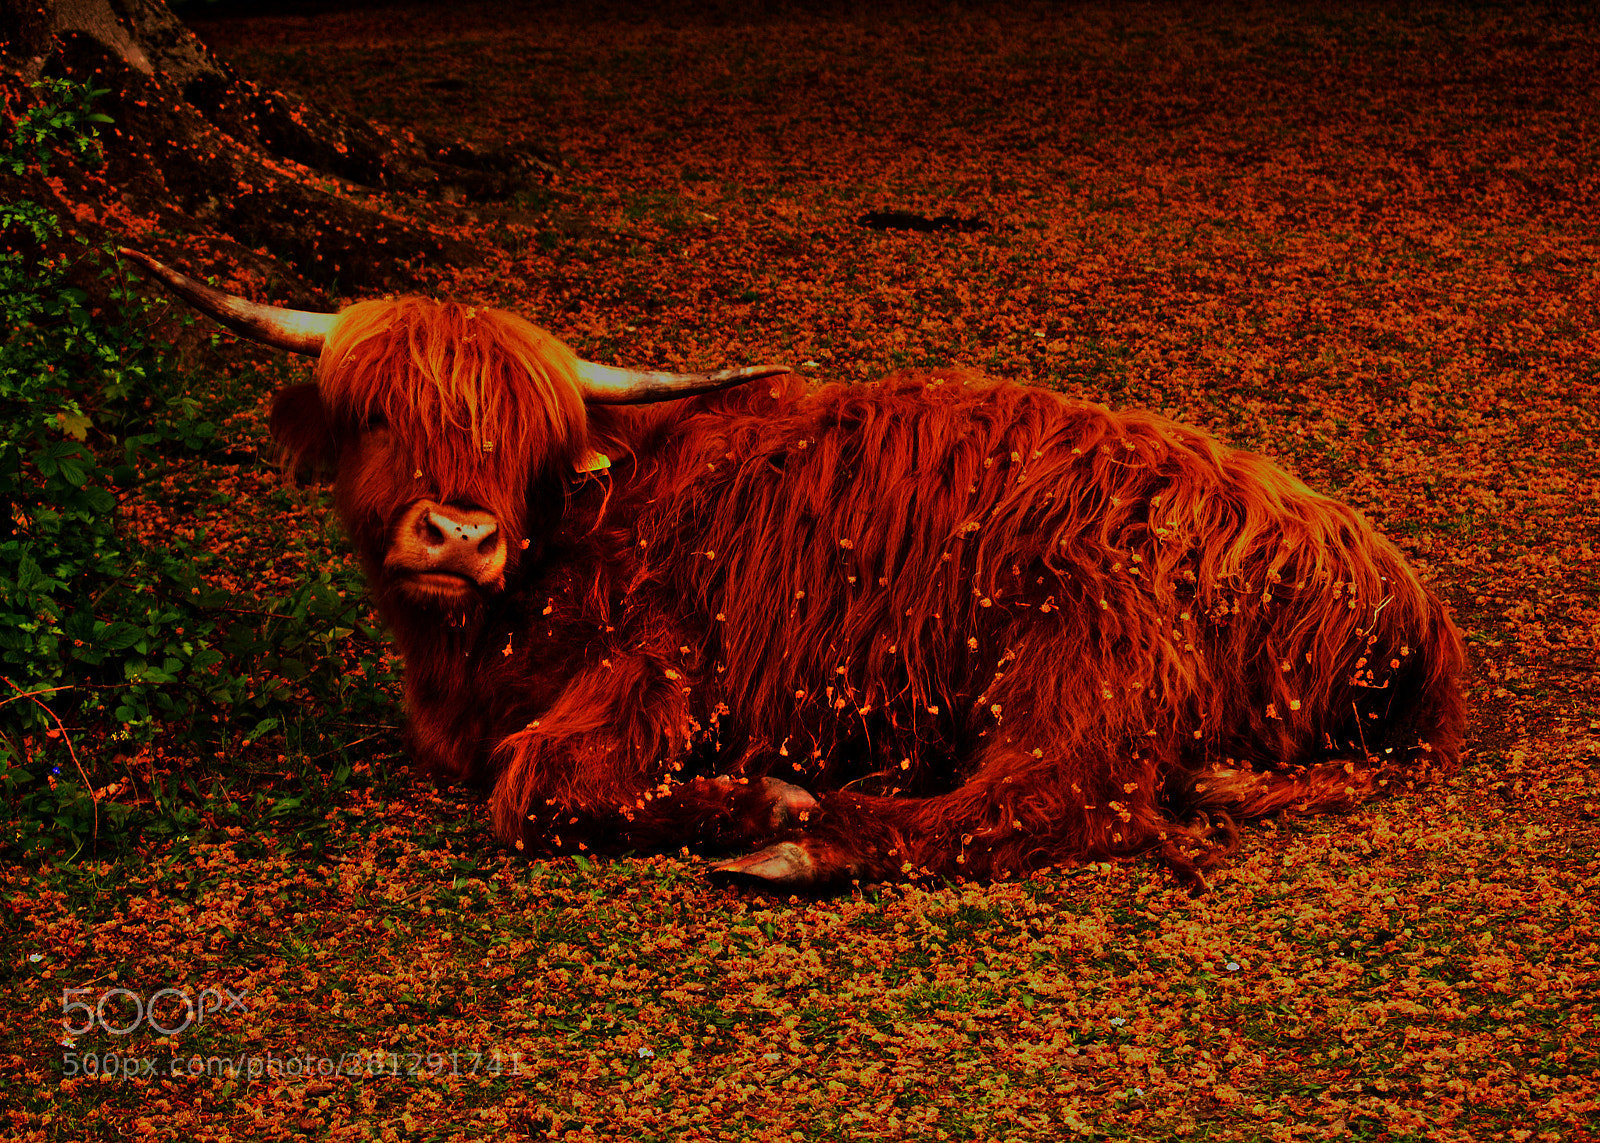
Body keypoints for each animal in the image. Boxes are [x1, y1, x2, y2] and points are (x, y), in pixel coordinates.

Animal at [125, 249, 1466, 890]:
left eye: (525, 440)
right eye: (377, 415)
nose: (456, 535)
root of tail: (1405, 596)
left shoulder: (662, 666)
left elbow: (539, 788)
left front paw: (759, 799)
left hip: (1091, 640)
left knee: (1054, 801)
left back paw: (805, 839)